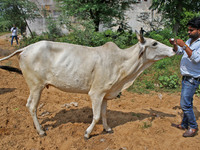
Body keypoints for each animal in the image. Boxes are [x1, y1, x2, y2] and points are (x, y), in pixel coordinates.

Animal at [0, 30, 175, 139]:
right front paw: (87, 133)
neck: (121, 63)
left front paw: (107, 128)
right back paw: (41, 131)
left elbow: (104, 114)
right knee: (31, 106)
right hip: (36, 86)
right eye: (154, 43)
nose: (174, 49)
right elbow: (96, 116)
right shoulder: (96, 93)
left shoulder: (105, 94)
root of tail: (25, 48)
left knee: (30, 106)